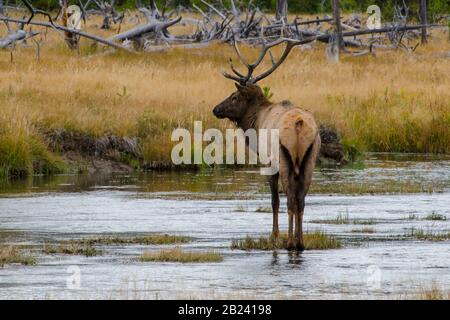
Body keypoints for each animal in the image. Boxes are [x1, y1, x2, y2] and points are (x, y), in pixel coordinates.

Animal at [214, 38, 322, 251]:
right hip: (310, 160)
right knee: (301, 199)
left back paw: (290, 242)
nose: (215, 109)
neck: (256, 123)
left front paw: (274, 235)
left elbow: (274, 200)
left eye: (234, 96)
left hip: (284, 158)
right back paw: (300, 241)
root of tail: (299, 123)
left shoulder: (268, 162)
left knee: (290, 199)